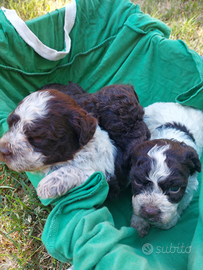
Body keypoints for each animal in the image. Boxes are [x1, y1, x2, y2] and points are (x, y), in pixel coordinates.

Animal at [130, 102, 203, 237]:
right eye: (137, 181)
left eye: (174, 189)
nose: (150, 211)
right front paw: (139, 222)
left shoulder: (190, 184)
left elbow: (182, 203)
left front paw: (168, 223)